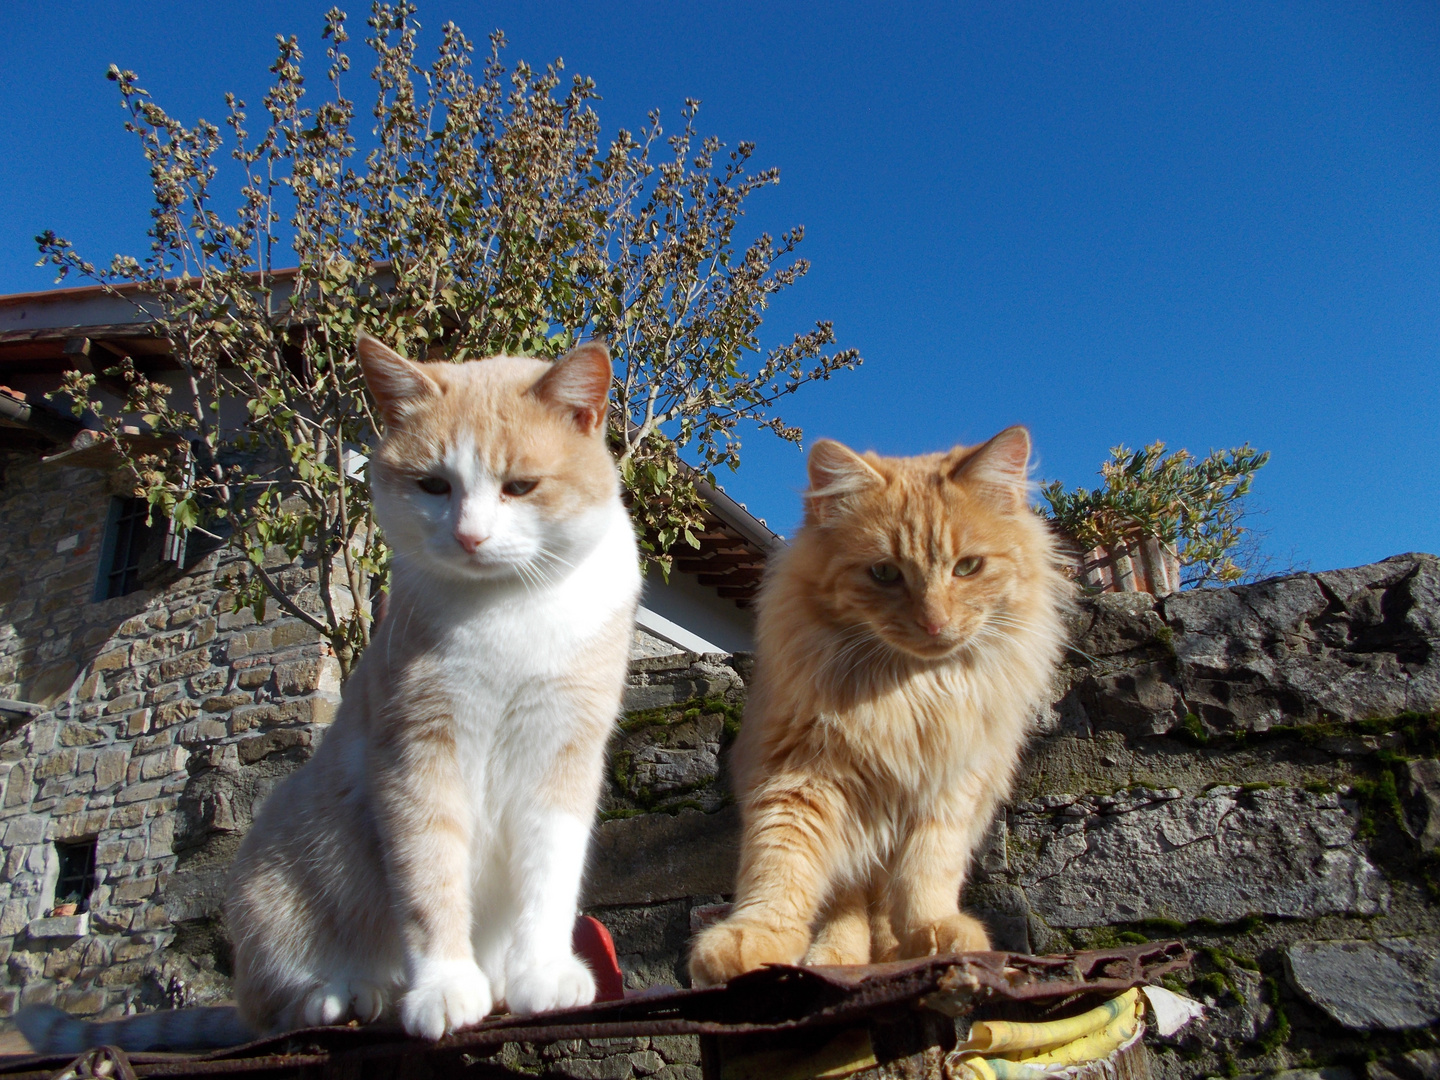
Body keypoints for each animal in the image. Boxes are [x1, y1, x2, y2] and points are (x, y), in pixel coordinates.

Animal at [685, 426, 1071, 984]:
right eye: (885, 573)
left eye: (968, 567)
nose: (934, 622)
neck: (908, 694)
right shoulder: (802, 780)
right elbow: (780, 865)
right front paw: (756, 937)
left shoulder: (948, 789)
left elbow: (925, 874)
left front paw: (932, 930)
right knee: (846, 902)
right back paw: (836, 956)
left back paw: (896, 951)